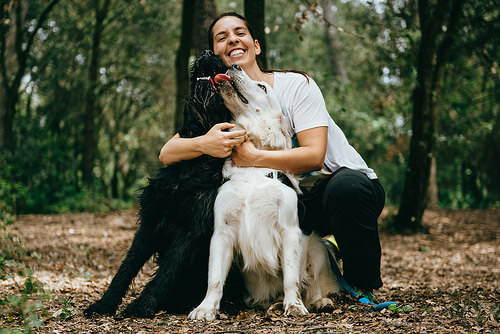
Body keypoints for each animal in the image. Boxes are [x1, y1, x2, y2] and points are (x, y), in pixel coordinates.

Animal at [85, 49, 241, 318]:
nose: (207, 52)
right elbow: (126, 268)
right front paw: (104, 303)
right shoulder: (150, 222)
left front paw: (140, 306)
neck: (192, 163)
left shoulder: (190, 231)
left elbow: (166, 271)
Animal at [188, 63, 340, 320]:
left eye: (262, 87)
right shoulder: (222, 231)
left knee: (312, 285)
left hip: (320, 250)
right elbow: (215, 278)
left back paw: (318, 302)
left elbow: (291, 277)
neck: (254, 168)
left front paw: (294, 305)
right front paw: (206, 307)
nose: (234, 65)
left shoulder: (290, 229)